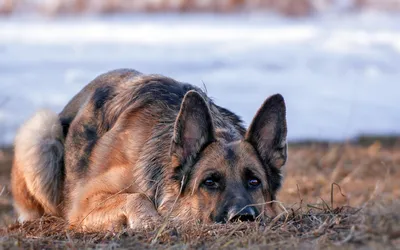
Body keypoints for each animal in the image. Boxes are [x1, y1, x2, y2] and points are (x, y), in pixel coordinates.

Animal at [11, 69, 288, 230]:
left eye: (254, 181)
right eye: (209, 182)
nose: (243, 218)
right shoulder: (84, 204)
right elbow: (137, 197)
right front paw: (151, 221)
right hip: (42, 129)